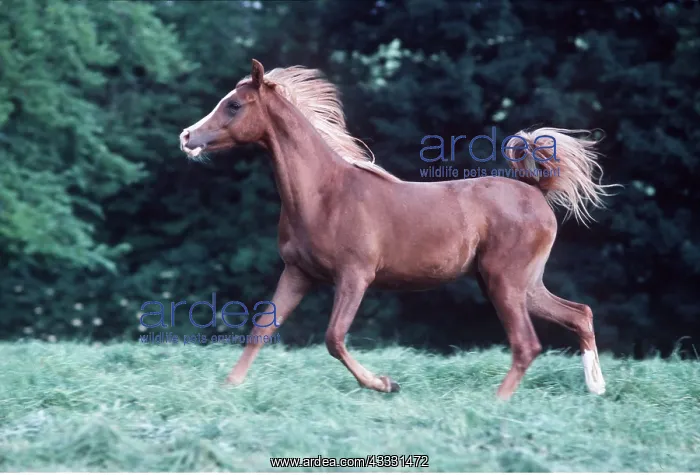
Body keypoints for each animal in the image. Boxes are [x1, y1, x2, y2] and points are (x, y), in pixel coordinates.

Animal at [179, 59, 614, 400]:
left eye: (234, 105)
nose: (187, 136)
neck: (324, 194)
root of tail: (535, 190)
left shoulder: (355, 276)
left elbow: (334, 338)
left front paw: (385, 384)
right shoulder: (298, 273)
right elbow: (262, 329)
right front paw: (229, 387)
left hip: (504, 281)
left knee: (527, 344)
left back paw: (497, 402)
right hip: (523, 284)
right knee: (580, 314)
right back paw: (596, 387)